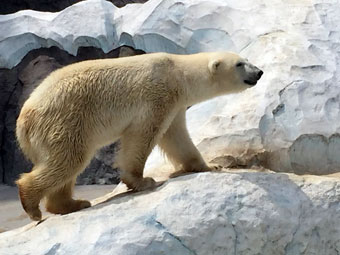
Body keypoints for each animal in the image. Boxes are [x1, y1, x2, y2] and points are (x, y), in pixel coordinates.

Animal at [15, 50, 262, 220]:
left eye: (247, 59)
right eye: (240, 63)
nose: (259, 72)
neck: (178, 72)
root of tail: (23, 122)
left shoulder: (175, 106)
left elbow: (177, 138)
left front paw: (210, 165)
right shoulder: (157, 95)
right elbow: (142, 135)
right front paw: (142, 181)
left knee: (66, 166)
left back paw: (72, 204)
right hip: (65, 121)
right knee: (68, 160)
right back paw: (32, 206)